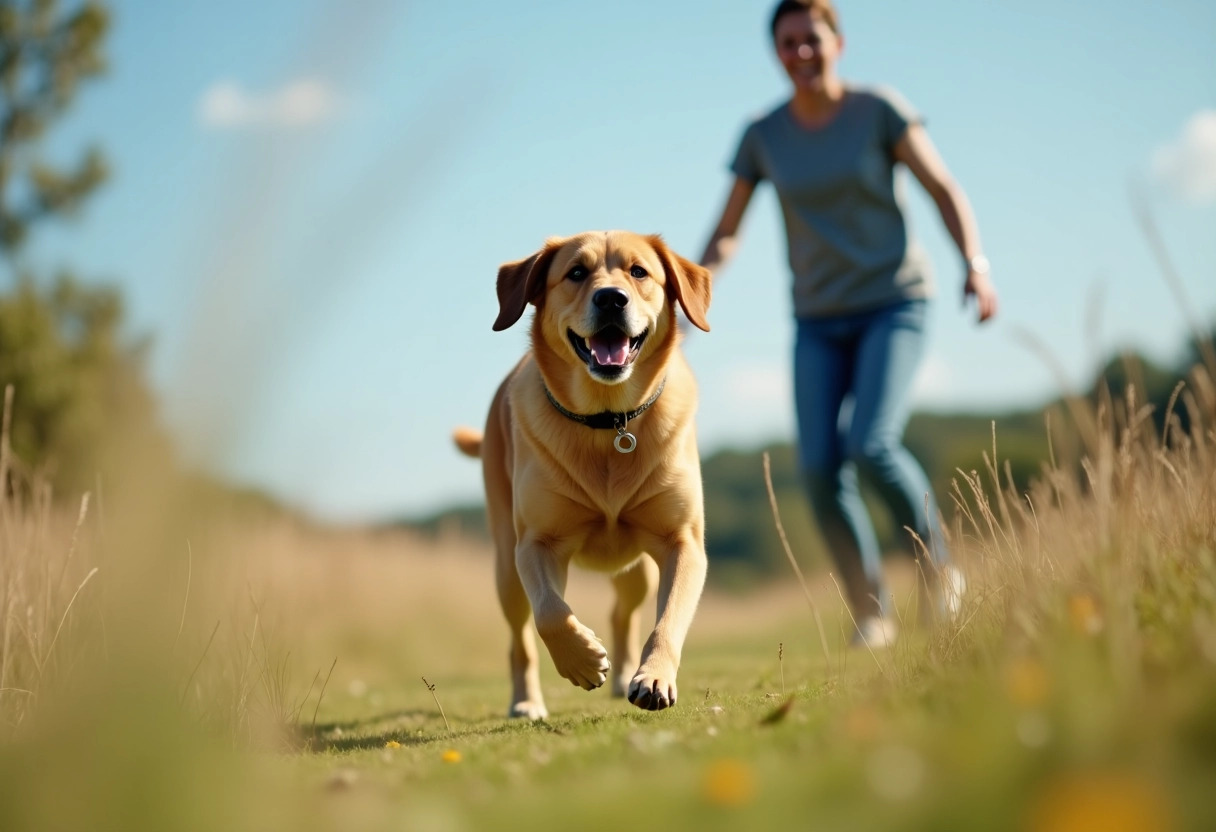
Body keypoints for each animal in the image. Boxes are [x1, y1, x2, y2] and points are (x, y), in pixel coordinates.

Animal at [452, 231, 710, 720]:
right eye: (575, 272)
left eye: (639, 271)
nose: (611, 298)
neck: (609, 423)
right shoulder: (535, 544)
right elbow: (551, 613)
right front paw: (583, 661)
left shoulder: (682, 541)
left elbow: (668, 620)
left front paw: (653, 678)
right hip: (505, 568)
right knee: (520, 641)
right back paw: (526, 701)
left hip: (636, 571)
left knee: (623, 614)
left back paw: (627, 672)